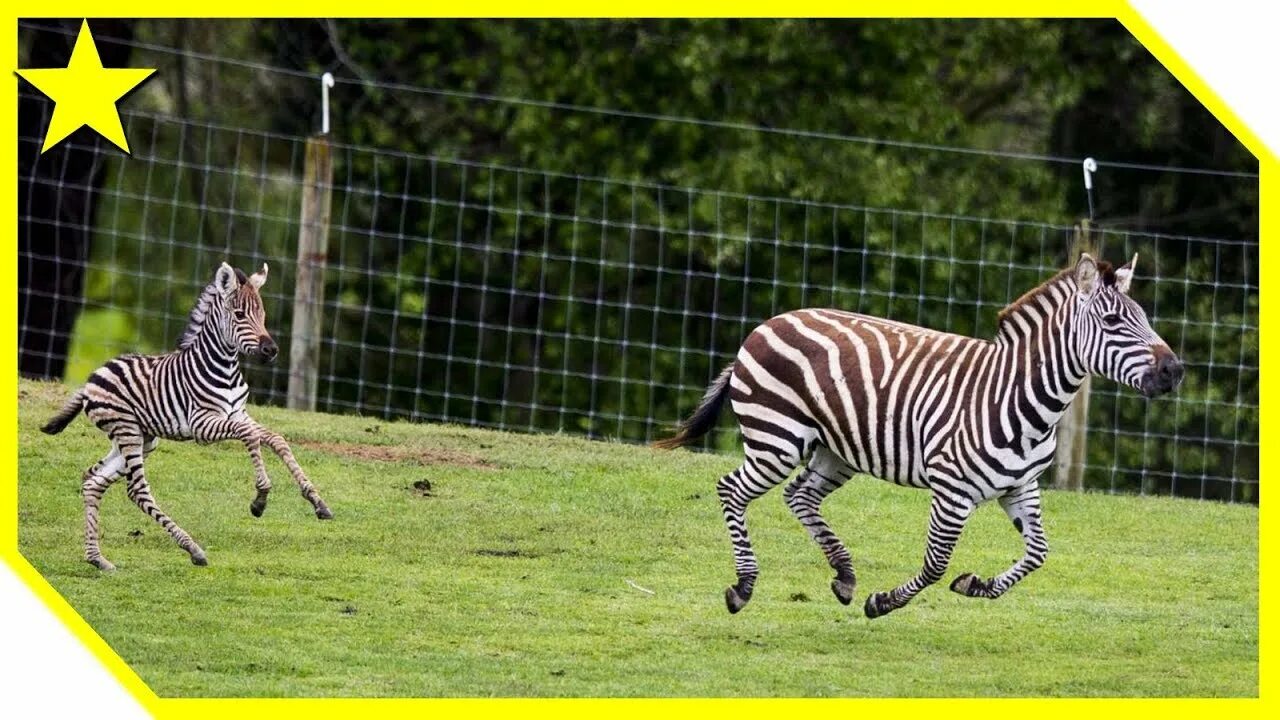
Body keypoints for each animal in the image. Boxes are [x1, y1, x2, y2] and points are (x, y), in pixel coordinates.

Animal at [43, 260, 335, 568]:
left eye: (262, 315)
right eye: (240, 315)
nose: (271, 350)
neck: (226, 370)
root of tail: (92, 376)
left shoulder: (238, 414)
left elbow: (275, 439)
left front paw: (317, 501)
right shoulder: (202, 425)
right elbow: (250, 436)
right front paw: (260, 498)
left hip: (142, 438)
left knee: (93, 482)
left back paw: (97, 558)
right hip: (127, 429)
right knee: (137, 491)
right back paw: (192, 548)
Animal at [655, 253, 1182, 617]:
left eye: (1145, 318)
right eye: (1113, 322)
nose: (1175, 371)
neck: (1026, 401)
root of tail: (766, 324)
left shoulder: (1021, 488)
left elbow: (1037, 554)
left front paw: (976, 586)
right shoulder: (952, 491)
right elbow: (936, 563)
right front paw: (882, 602)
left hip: (835, 450)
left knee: (800, 497)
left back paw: (844, 576)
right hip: (777, 438)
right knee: (732, 490)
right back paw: (744, 587)